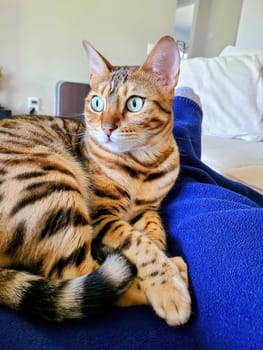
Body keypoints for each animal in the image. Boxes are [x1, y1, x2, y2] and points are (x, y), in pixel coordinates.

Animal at [0, 35, 192, 326]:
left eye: (135, 104)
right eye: (97, 104)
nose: (106, 128)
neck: (143, 163)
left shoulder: (150, 208)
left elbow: (154, 231)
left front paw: (161, 249)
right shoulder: (102, 216)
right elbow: (138, 242)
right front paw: (166, 283)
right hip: (52, 184)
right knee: (80, 277)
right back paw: (175, 271)